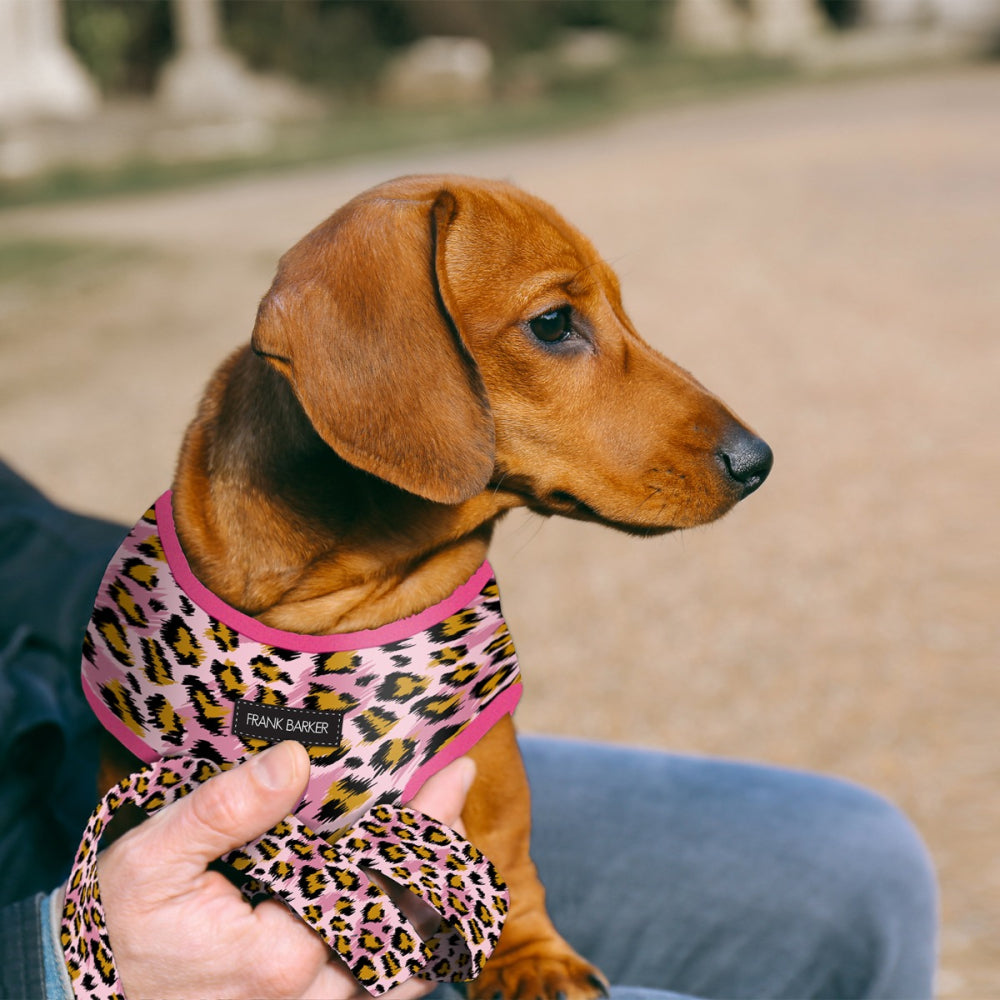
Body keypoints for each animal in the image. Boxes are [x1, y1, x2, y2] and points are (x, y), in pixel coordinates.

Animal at [101, 174, 768, 1000]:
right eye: (554, 323)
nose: (758, 461)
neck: (328, 592)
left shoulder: (486, 744)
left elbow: (503, 847)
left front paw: (530, 958)